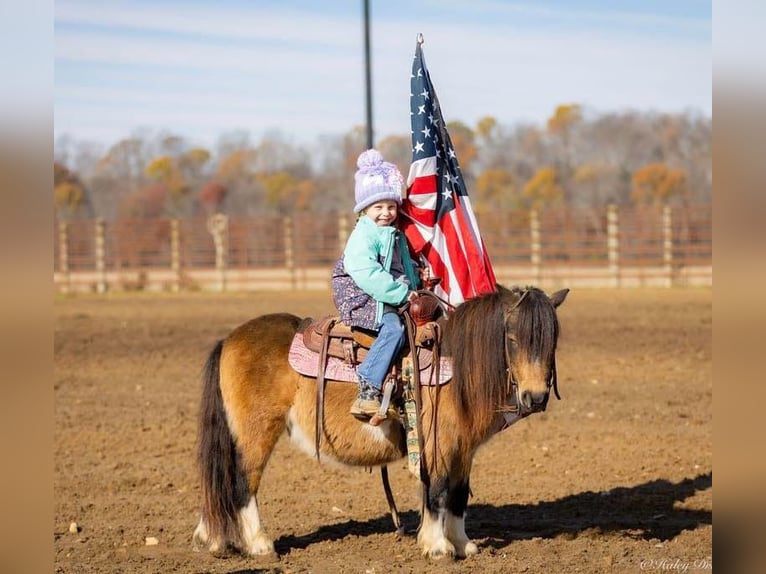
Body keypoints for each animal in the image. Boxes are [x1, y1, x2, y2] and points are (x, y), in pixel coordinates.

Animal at [196, 286, 568, 560]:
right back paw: (260, 544)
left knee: (222, 481)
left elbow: (458, 495)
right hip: (256, 433)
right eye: (513, 339)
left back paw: (211, 539)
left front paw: (463, 544)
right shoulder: (439, 442)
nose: (535, 398)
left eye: (551, 340)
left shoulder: (463, 448)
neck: (457, 365)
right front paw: (438, 547)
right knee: (243, 483)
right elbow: (437, 491)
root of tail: (228, 341)